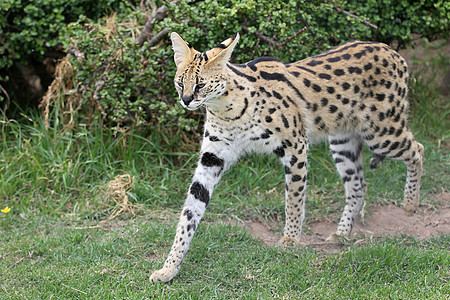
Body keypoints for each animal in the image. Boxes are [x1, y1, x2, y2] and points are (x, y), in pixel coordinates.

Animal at [149, 33, 424, 284]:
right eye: (179, 83)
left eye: (201, 85)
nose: (186, 100)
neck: (228, 111)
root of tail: (393, 51)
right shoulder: (212, 158)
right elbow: (189, 213)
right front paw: (169, 267)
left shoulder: (295, 145)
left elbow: (294, 198)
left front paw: (290, 239)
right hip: (342, 141)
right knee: (359, 185)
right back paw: (342, 234)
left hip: (381, 132)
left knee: (418, 149)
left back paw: (410, 203)